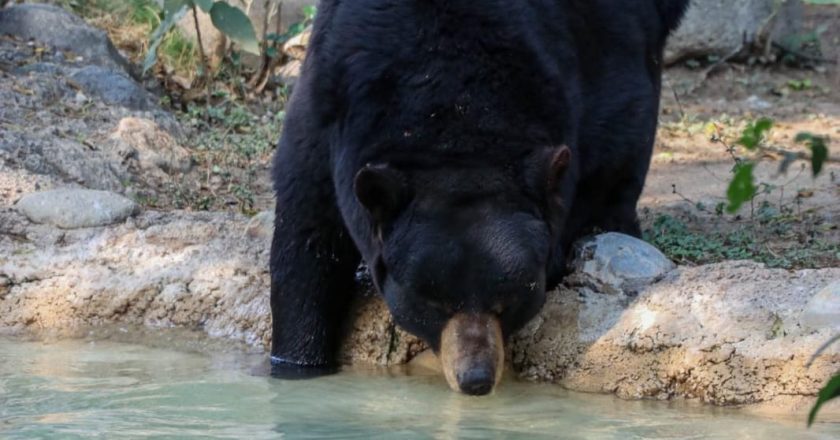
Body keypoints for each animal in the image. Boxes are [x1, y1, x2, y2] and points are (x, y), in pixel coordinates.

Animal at [270, 0, 688, 396]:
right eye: (433, 304)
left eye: (509, 300)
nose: (475, 379)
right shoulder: (328, 107)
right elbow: (307, 239)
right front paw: (297, 363)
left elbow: (616, 137)